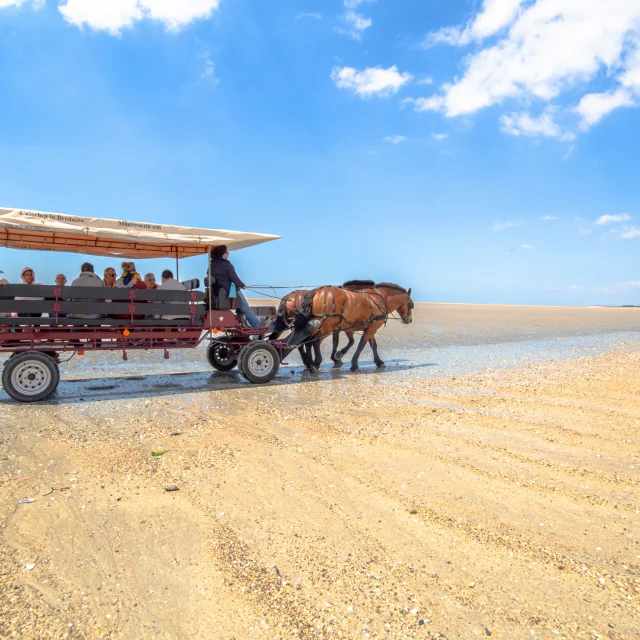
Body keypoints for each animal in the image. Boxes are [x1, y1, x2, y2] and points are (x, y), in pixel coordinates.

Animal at [286, 282, 416, 372]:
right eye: (411, 304)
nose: (409, 320)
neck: (378, 299)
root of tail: (316, 292)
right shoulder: (371, 327)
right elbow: (361, 345)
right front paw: (353, 364)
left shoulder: (368, 326)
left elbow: (372, 345)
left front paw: (379, 361)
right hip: (326, 327)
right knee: (315, 342)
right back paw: (316, 363)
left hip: (315, 326)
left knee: (308, 342)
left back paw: (309, 363)